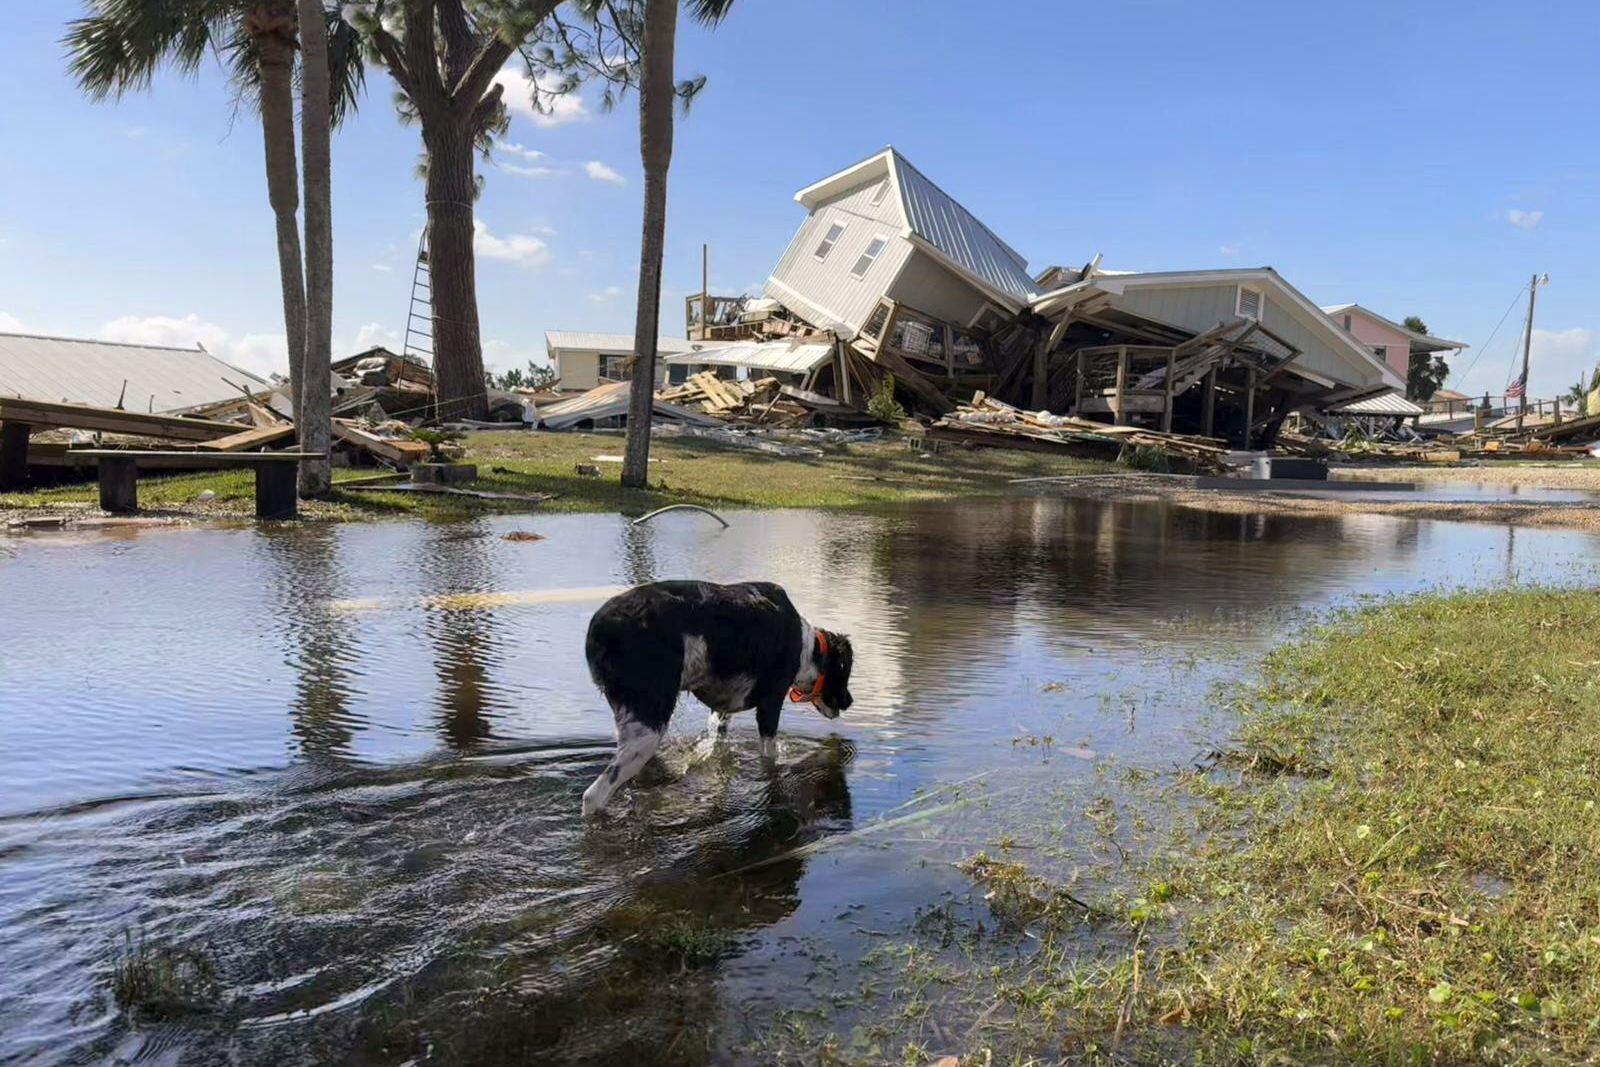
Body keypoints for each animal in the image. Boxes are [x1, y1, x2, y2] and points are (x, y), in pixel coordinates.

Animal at [576, 579, 851, 812]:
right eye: (845, 671)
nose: (849, 702)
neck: (807, 647)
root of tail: (601, 626)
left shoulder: (721, 710)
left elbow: (719, 746)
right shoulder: (770, 704)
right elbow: (769, 757)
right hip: (647, 730)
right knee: (592, 796)